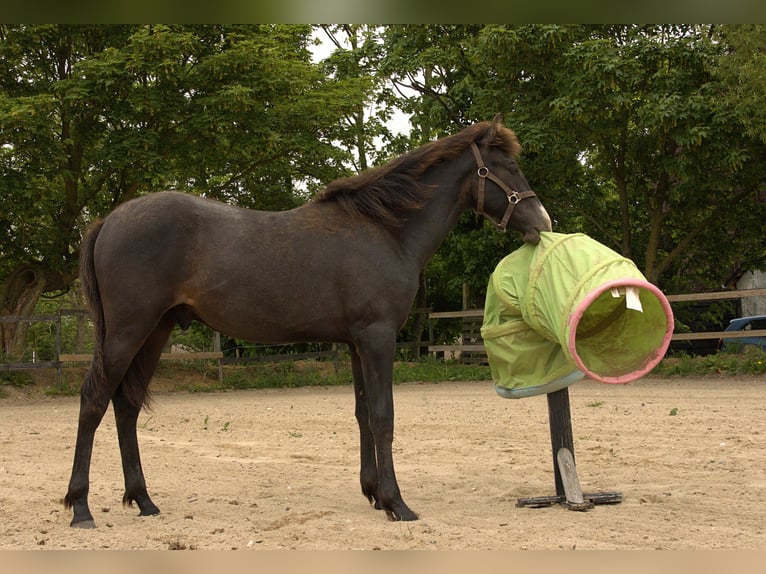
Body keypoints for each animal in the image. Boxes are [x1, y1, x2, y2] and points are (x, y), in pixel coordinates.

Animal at [64, 114, 552, 527]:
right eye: (509, 167)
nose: (542, 222)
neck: (385, 230)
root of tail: (109, 220)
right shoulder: (377, 338)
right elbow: (383, 416)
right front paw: (396, 502)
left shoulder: (356, 343)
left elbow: (362, 413)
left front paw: (373, 492)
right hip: (127, 332)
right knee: (93, 401)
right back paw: (81, 507)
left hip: (155, 332)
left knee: (126, 406)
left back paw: (143, 499)